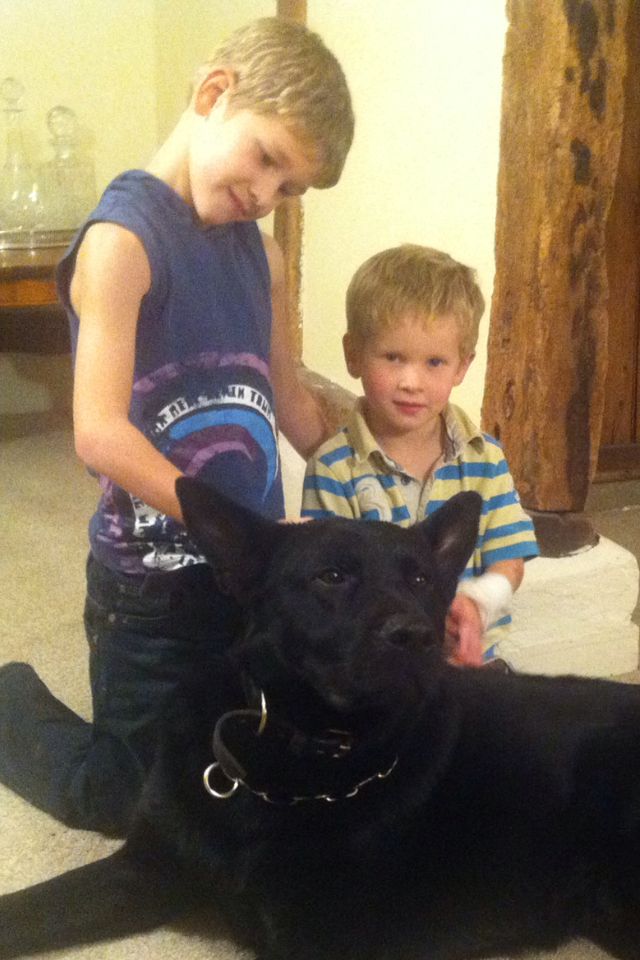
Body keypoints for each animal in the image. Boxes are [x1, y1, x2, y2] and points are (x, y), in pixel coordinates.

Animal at [1, 477, 640, 960]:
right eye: (332, 576)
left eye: (420, 580)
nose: (419, 637)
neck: (289, 758)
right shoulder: (141, 872)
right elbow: (26, 910)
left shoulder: (313, 939)